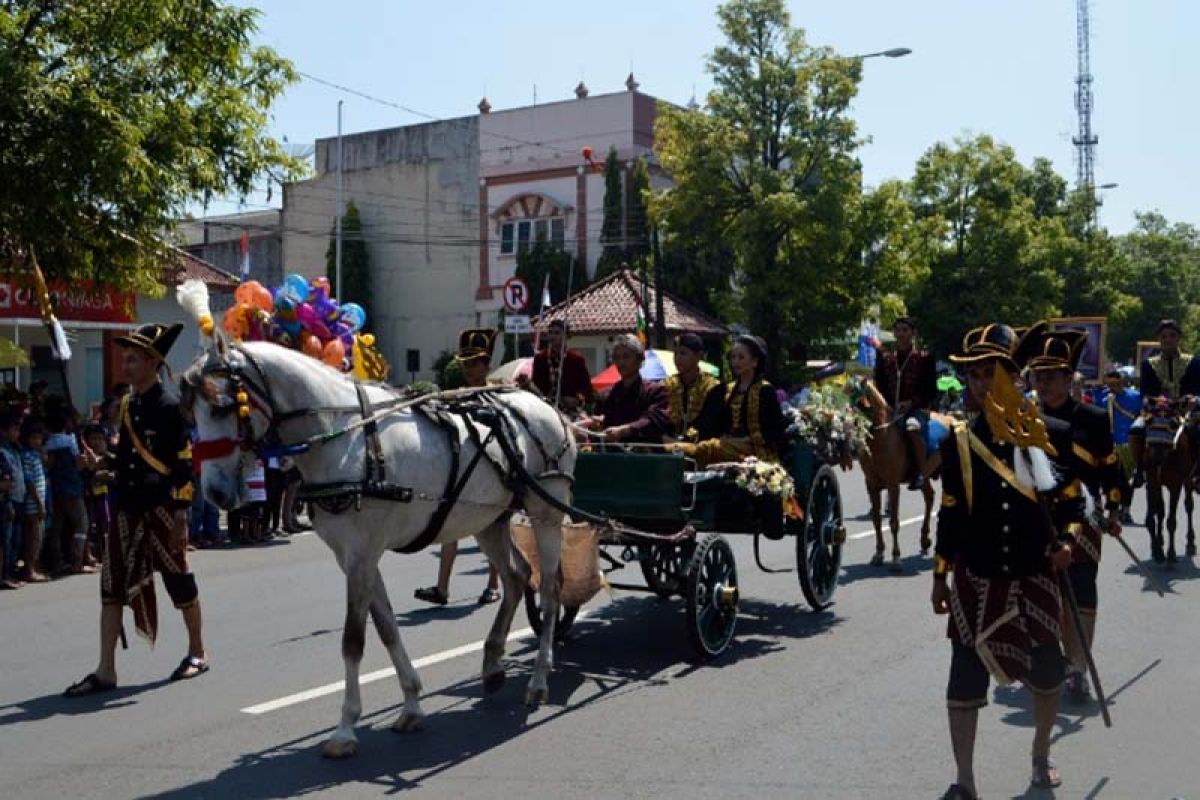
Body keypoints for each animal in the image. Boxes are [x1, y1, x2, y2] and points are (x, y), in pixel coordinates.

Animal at [181, 335, 576, 758]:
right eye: (190, 412)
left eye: (222, 406)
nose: (214, 493)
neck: (348, 439)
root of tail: (547, 408)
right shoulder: (354, 557)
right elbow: (386, 627)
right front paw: (412, 704)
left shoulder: (361, 555)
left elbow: (353, 640)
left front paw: (345, 728)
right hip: (489, 521)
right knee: (518, 578)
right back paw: (492, 664)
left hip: (546, 512)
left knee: (549, 591)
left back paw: (539, 678)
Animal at [864, 381, 936, 568]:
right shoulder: (871, 485)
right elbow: (876, 519)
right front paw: (879, 553)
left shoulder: (893, 484)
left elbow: (894, 522)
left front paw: (896, 557)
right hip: (925, 475)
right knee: (929, 497)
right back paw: (925, 540)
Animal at [1137, 400, 1195, 563]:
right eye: (1149, 421)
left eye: (1172, 424)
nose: (1156, 459)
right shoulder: (1152, 480)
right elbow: (1153, 516)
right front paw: (1157, 550)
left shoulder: (1175, 484)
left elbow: (1171, 521)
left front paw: (1170, 553)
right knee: (1160, 510)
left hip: (1187, 480)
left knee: (1189, 506)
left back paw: (1190, 542)